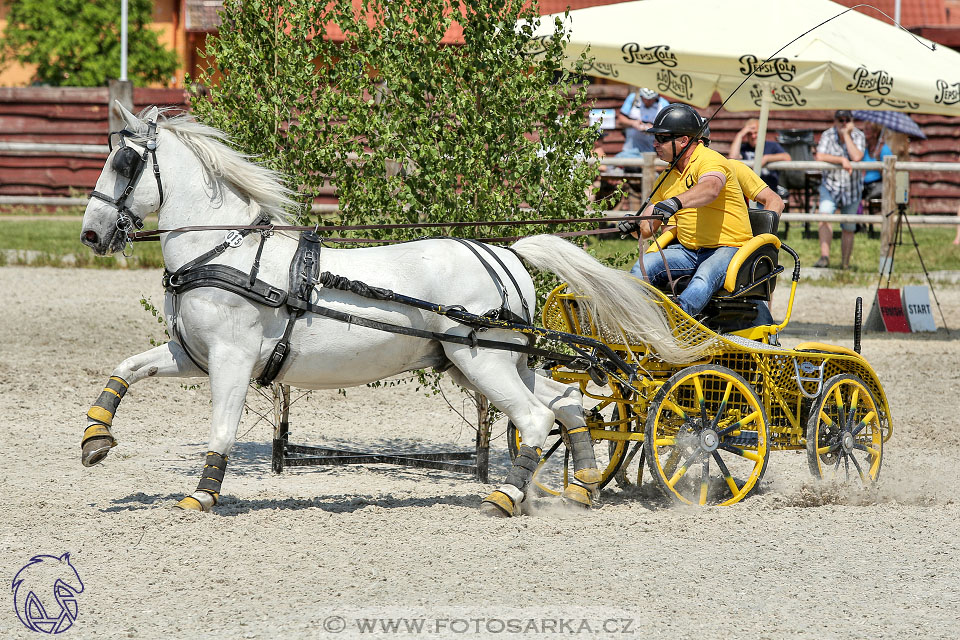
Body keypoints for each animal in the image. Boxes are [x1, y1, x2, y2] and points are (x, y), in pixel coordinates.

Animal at [79, 104, 696, 516]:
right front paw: (95, 439)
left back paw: (506, 496)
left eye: (124, 162)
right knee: (566, 402)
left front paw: (202, 494)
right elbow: (127, 368)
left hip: (482, 362)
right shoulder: (193, 354)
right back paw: (582, 485)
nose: (91, 234)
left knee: (534, 418)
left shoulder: (232, 359)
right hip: (493, 360)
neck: (222, 250)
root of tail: (505, 253)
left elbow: (223, 428)